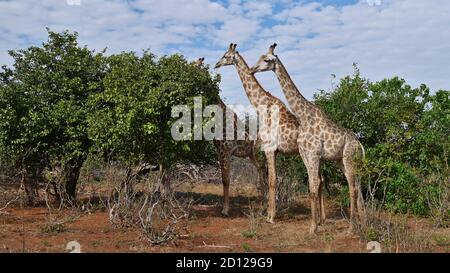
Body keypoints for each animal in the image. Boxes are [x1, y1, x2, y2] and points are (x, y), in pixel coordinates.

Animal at [192, 58, 264, 217]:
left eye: (193, 66)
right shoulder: (220, 151)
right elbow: (224, 179)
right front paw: (224, 208)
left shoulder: (226, 150)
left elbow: (226, 180)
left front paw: (225, 210)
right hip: (251, 155)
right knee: (261, 169)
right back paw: (262, 197)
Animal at [214, 44, 302, 223]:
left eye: (226, 56)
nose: (216, 64)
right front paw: (269, 212)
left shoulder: (265, 149)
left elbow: (271, 180)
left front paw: (270, 216)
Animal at [250, 43, 366, 231]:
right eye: (260, 57)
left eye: (267, 60)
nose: (252, 69)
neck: (303, 116)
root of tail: (360, 146)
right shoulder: (305, 155)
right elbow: (313, 186)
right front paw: (315, 224)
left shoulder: (312, 154)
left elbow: (313, 187)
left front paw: (313, 227)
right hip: (343, 161)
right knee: (357, 187)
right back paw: (363, 223)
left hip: (349, 159)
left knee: (353, 189)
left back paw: (351, 227)